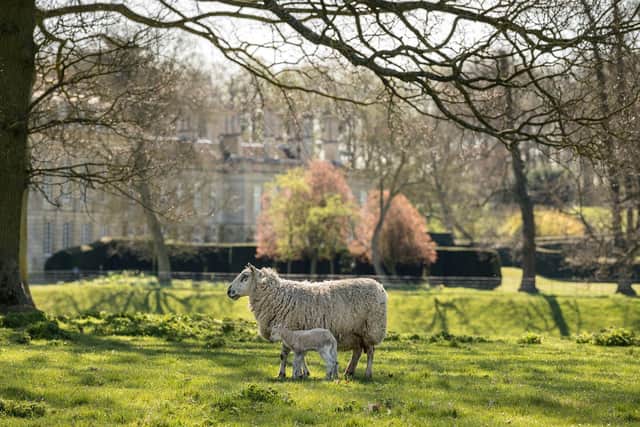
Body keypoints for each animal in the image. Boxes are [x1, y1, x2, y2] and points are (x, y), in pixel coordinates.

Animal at [227, 264, 387, 379]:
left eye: (245, 277)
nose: (229, 291)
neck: (275, 295)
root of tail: (380, 286)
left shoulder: (290, 327)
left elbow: (285, 354)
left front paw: (283, 374)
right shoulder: (299, 332)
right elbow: (300, 355)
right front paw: (304, 373)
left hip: (371, 329)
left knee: (370, 352)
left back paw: (367, 374)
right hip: (355, 332)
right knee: (357, 352)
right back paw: (349, 372)